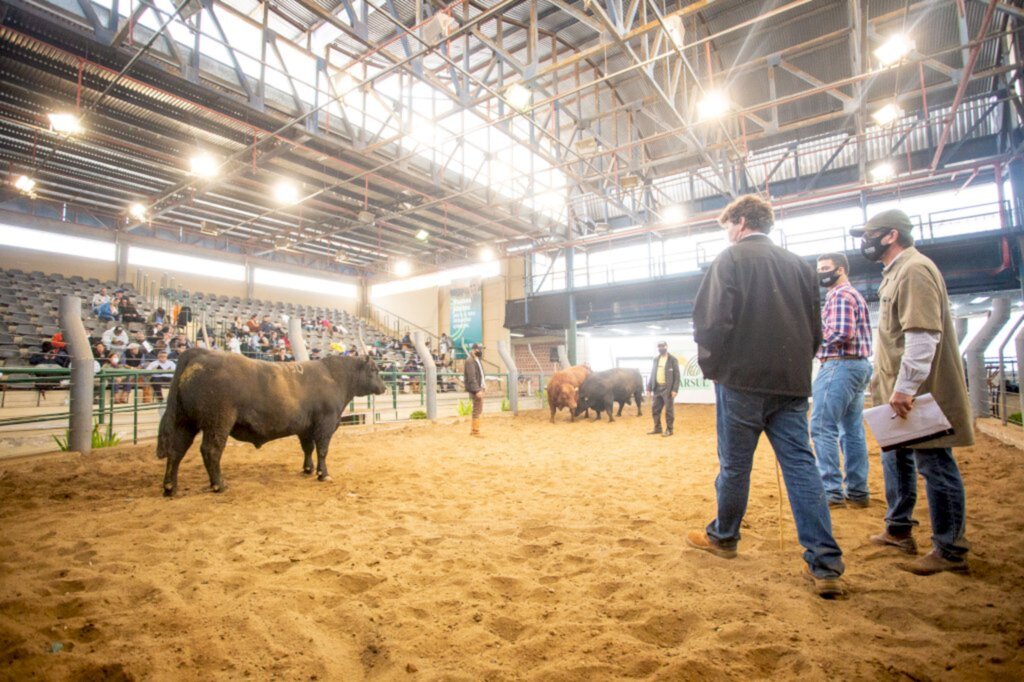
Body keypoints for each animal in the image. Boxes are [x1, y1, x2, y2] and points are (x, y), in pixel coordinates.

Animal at [157, 350, 385, 493]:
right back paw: (219, 485)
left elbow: (308, 448)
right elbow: (322, 449)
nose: (384, 387)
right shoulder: (325, 422)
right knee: (211, 450)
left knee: (176, 450)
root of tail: (201, 353)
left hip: (185, 422)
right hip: (218, 421)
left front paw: (308, 469)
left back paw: (170, 487)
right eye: (375, 370)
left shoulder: (305, 427)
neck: (334, 377)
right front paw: (323, 474)